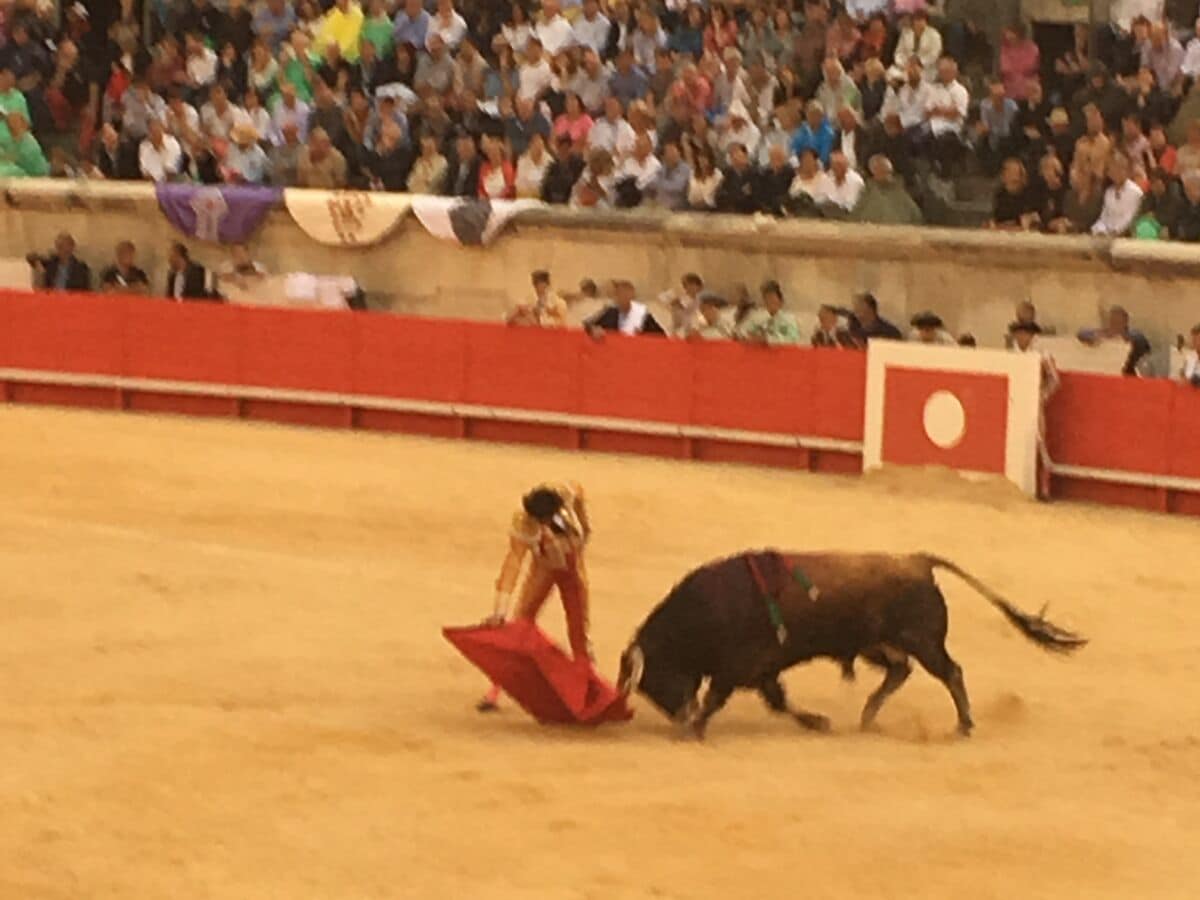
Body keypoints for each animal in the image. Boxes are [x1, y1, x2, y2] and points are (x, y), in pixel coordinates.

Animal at [619, 549, 1089, 739]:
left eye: (656, 677)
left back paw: (964, 725)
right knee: (901, 670)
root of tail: (918, 561)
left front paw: (698, 727)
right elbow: (778, 701)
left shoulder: (739, 667)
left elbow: (723, 697)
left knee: (949, 671)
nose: (679, 720)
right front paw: (818, 722)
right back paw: (867, 716)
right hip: (878, 643)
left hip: (922, 640)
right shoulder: (760, 670)